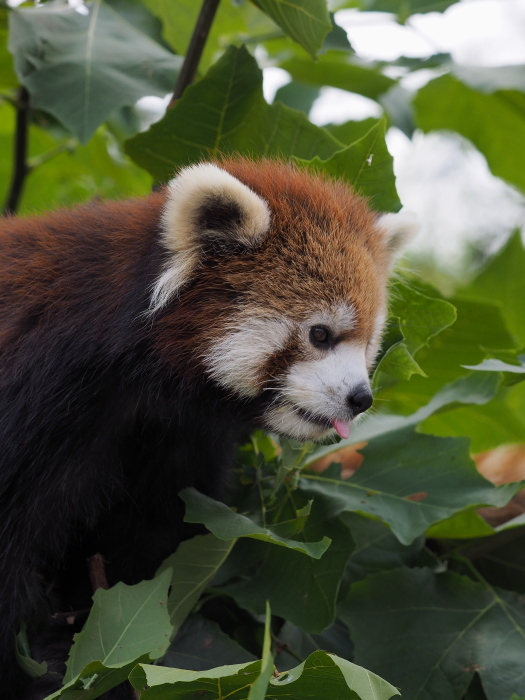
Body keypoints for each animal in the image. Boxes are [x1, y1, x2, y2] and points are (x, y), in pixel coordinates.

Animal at [0, 156, 416, 696]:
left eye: (367, 344)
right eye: (320, 334)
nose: (359, 399)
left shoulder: (180, 444)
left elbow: (147, 555)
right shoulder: (37, 394)